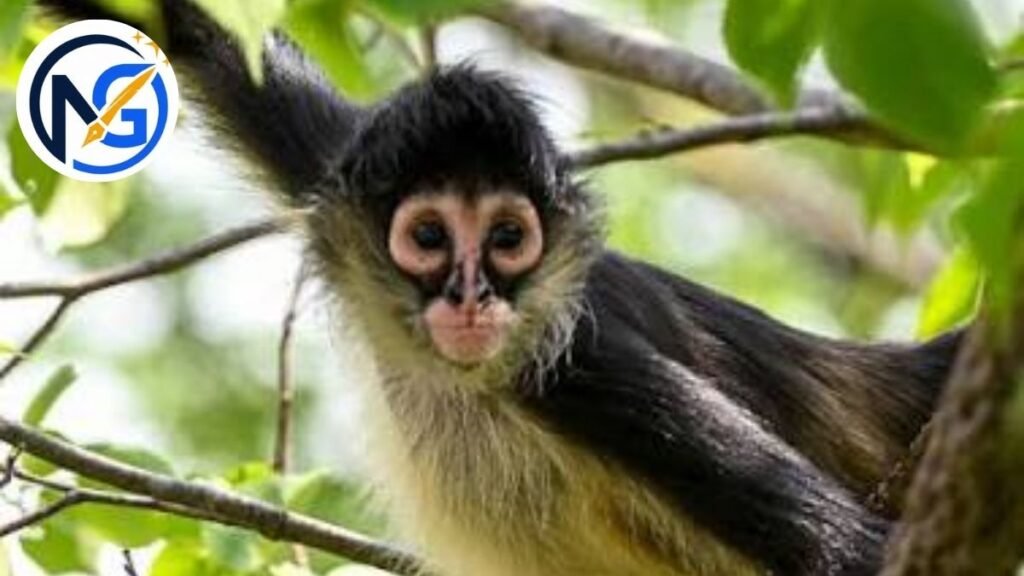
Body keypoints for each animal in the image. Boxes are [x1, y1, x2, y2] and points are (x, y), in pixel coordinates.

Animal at [36, 2, 963, 574]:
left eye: (509, 240)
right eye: (429, 238)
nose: (472, 297)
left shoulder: (586, 374)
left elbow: (854, 557)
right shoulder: (336, 160)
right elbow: (195, 33)